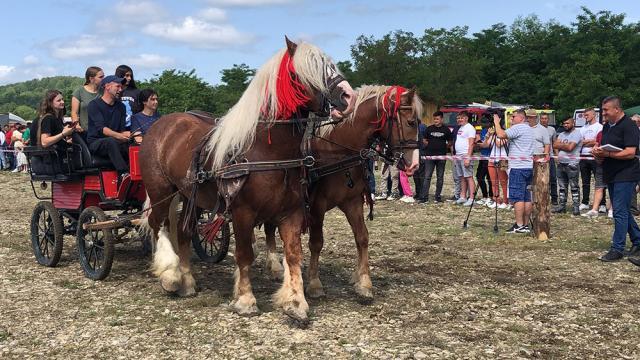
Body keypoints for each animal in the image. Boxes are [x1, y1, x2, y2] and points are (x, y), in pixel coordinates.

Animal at [139, 38, 356, 322]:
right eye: (308, 69)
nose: (348, 96)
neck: (267, 149)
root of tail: (162, 123)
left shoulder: (292, 212)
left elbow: (293, 254)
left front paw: (296, 301)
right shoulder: (242, 211)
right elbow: (244, 254)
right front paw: (245, 299)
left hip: (191, 196)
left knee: (184, 232)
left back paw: (187, 281)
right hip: (161, 190)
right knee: (158, 224)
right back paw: (170, 275)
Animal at [262, 85, 422, 300]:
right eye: (411, 122)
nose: (415, 164)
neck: (337, 152)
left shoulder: (352, 202)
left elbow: (362, 237)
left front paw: (364, 282)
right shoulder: (317, 206)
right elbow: (316, 242)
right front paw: (314, 283)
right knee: (269, 227)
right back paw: (274, 266)